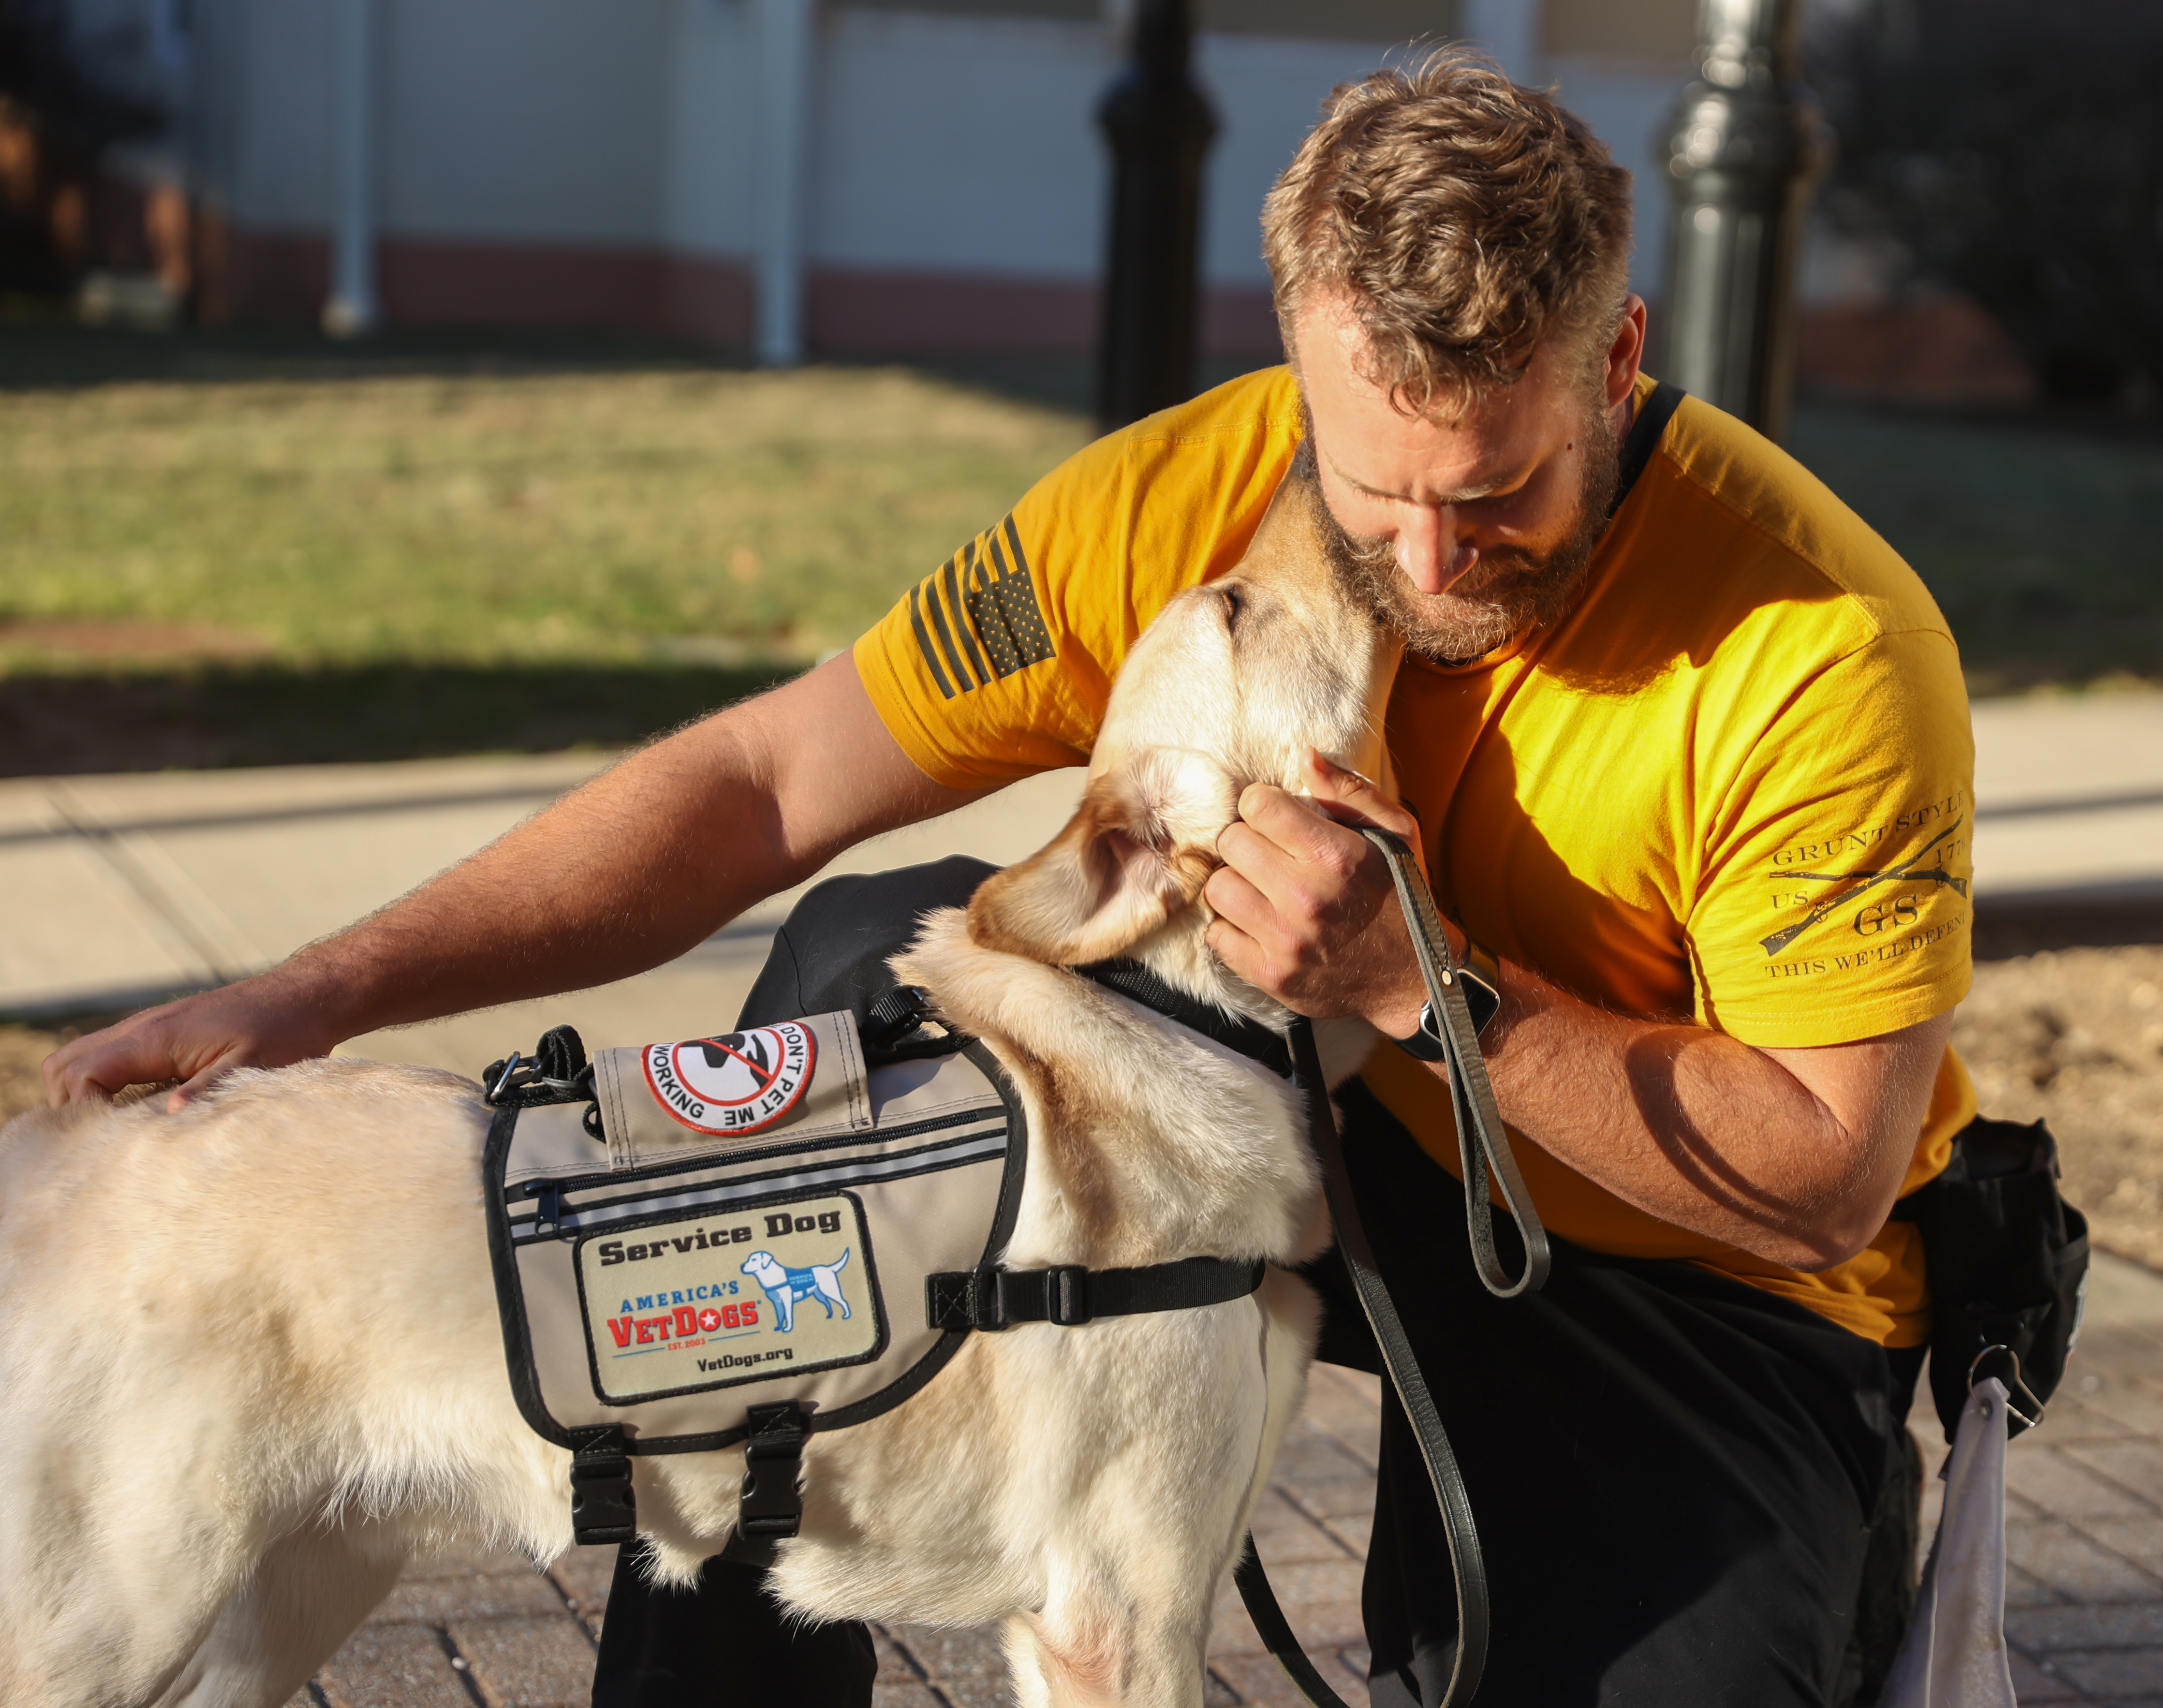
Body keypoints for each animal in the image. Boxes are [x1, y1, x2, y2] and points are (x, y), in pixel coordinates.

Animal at [0, 471, 1401, 1708]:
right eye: (1233, 606)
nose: (1329, 481)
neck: (1193, 1017)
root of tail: (53, 1149)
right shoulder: (1119, 1616)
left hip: (302, 1580)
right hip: (116, 1614)